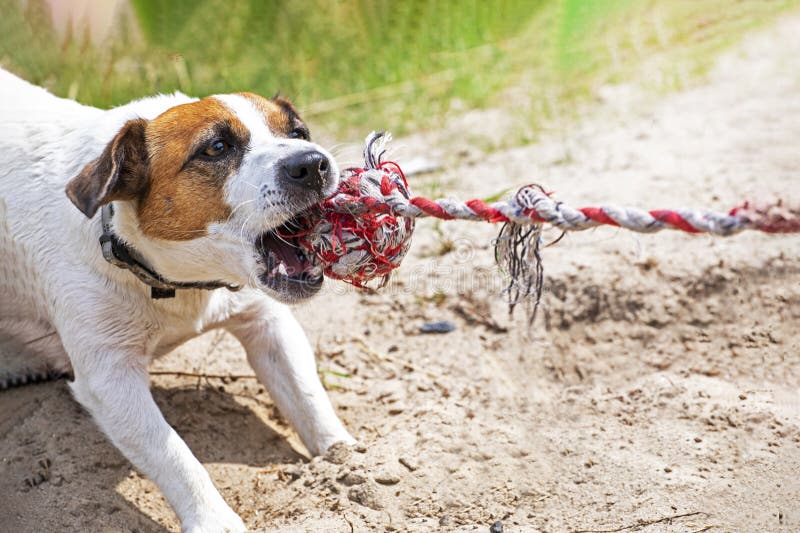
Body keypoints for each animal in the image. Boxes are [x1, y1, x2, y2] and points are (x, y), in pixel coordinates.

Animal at [0, 68, 356, 528]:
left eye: (298, 132)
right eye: (217, 148)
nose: (313, 162)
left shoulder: (268, 325)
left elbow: (309, 399)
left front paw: (346, 459)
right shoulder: (110, 376)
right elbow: (173, 454)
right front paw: (215, 520)